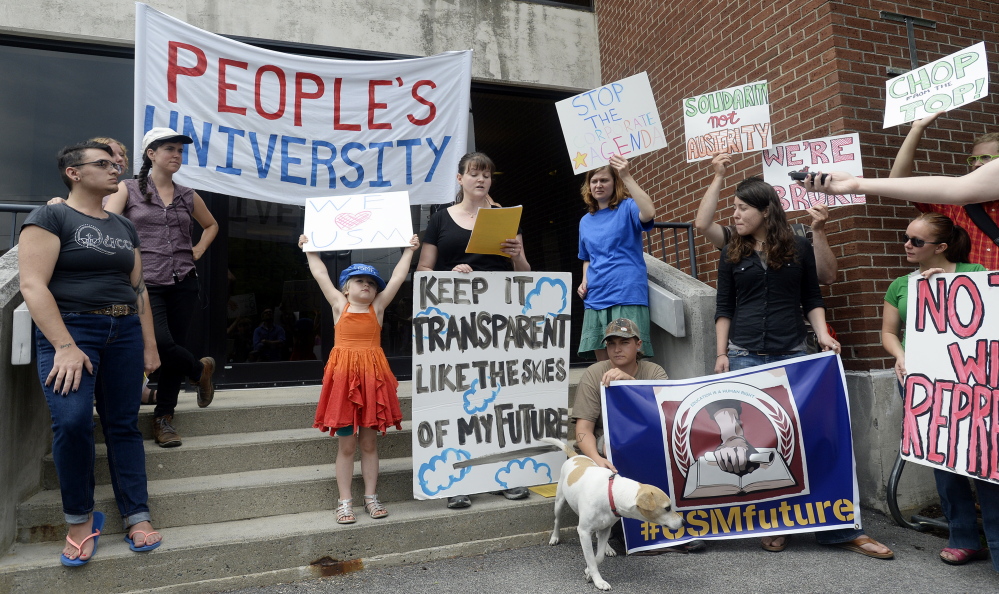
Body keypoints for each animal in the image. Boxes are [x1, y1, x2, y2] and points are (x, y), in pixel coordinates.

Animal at [544, 434, 684, 588]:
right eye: (667, 508)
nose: (683, 521)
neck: (610, 493)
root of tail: (576, 456)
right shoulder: (584, 532)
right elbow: (591, 559)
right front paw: (598, 581)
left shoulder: (606, 528)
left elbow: (598, 557)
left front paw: (589, 571)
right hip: (559, 502)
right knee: (557, 520)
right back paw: (555, 537)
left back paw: (607, 548)